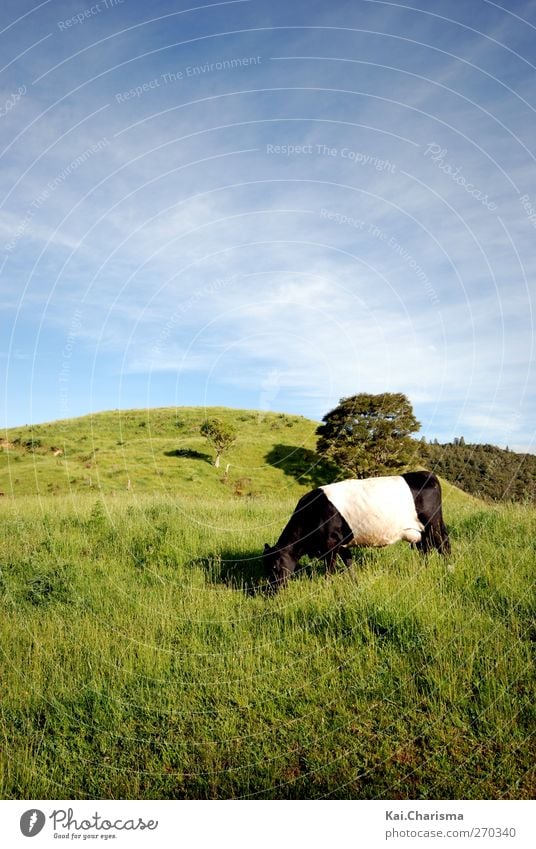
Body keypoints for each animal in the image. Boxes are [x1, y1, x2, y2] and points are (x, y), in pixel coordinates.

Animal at [262, 470, 448, 588]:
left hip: (433, 523)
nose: (273, 589)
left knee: (443, 544)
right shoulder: (342, 544)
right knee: (425, 549)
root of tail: (427, 474)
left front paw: (327, 588)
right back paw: (422, 571)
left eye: (275, 566)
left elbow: (330, 570)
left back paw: (448, 568)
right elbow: (349, 565)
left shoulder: (330, 544)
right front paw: (355, 584)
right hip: (420, 531)